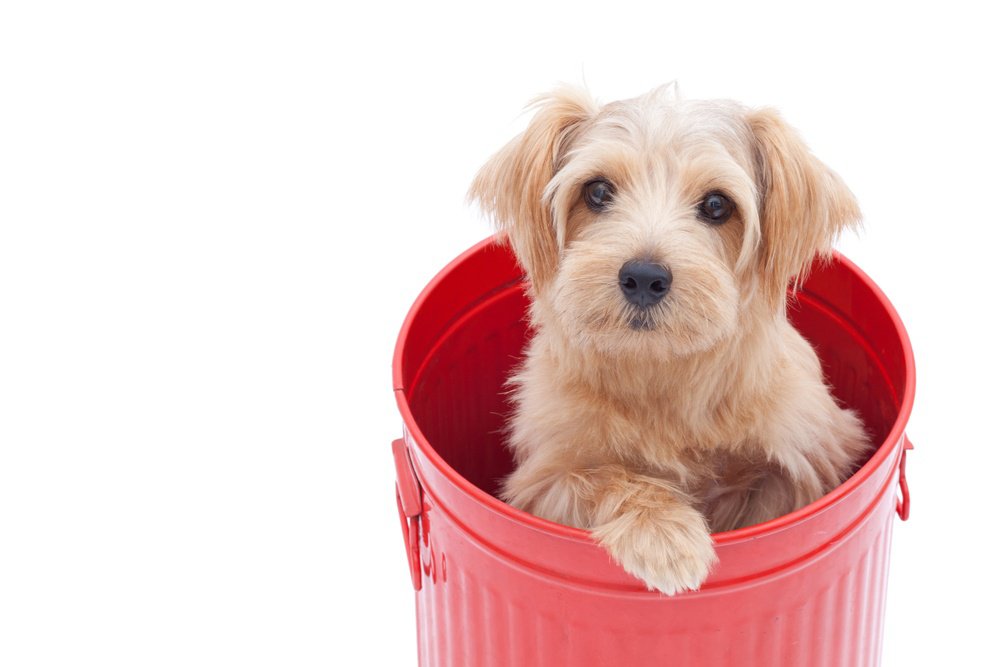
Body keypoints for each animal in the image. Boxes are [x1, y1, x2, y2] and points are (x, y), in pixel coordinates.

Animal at [468, 83, 868, 596]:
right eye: (597, 191)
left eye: (717, 205)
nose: (643, 277)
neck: (662, 373)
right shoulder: (541, 481)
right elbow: (604, 477)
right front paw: (664, 534)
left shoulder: (809, 458)